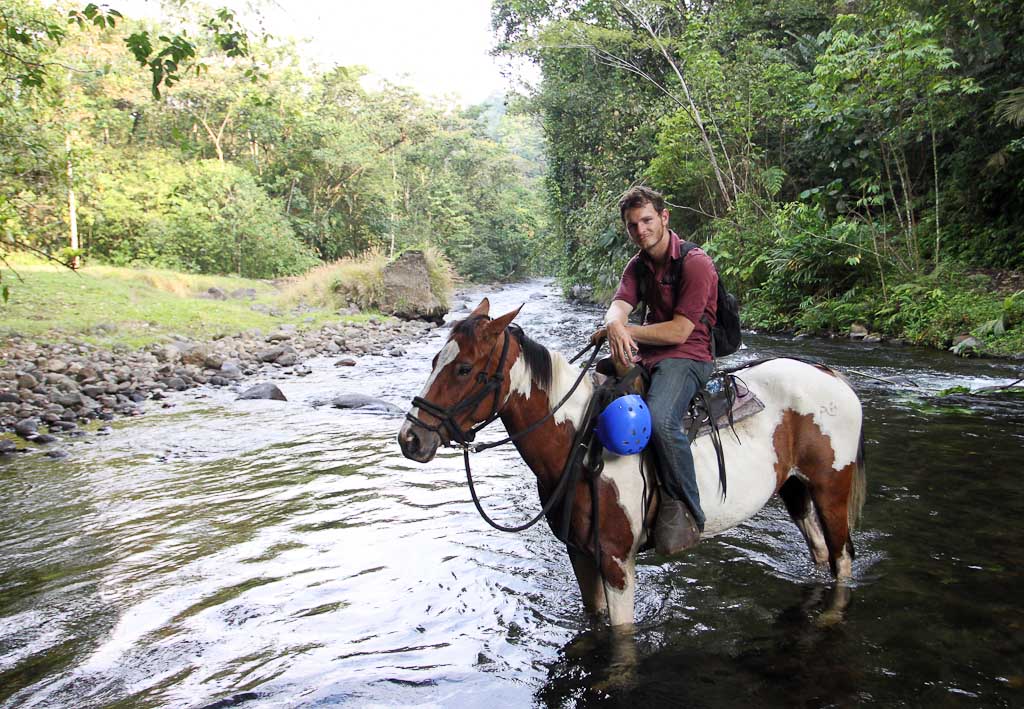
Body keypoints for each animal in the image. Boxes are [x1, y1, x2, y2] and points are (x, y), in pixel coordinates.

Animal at [397, 297, 864, 627]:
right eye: (435, 360)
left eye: (463, 368)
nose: (410, 439)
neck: (578, 442)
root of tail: (831, 374)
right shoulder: (580, 554)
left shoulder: (617, 561)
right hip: (795, 487)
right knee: (821, 551)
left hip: (831, 488)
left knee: (842, 559)